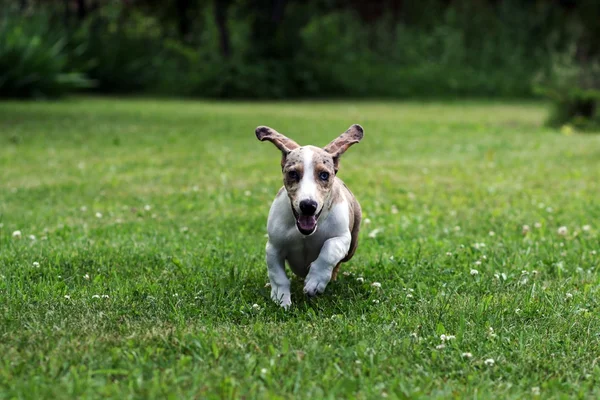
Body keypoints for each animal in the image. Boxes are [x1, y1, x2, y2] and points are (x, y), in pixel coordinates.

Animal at [255, 123, 364, 308]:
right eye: (293, 174)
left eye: (324, 175)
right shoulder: (274, 247)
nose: (308, 206)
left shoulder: (342, 238)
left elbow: (329, 249)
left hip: (352, 246)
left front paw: (315, 282)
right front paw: (281, 298)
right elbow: (277, 275)